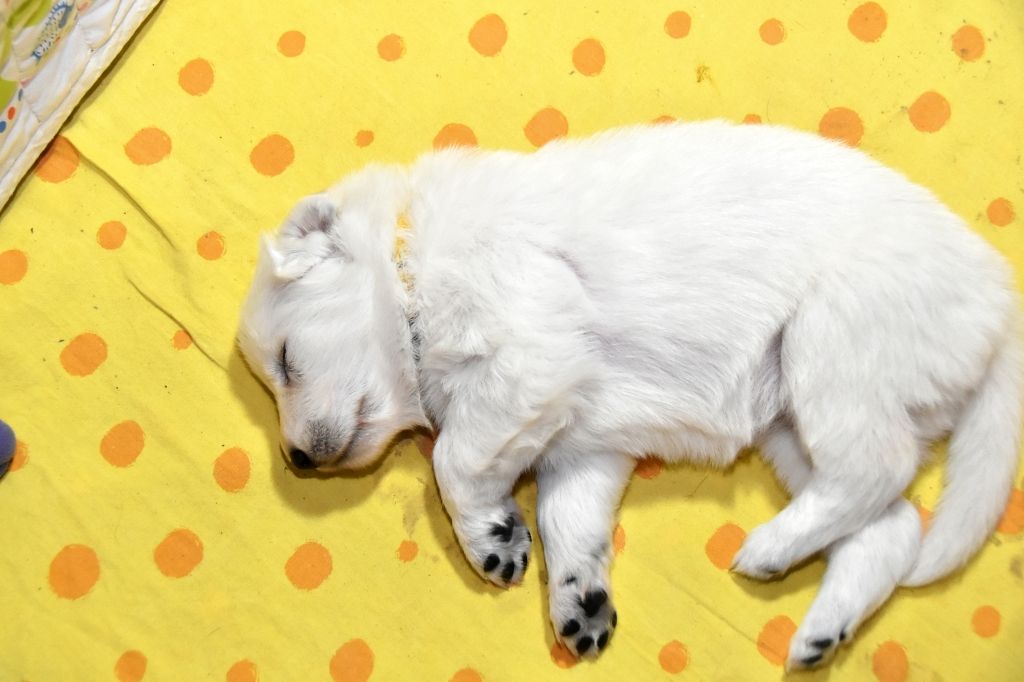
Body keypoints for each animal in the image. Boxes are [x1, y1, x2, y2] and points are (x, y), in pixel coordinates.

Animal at [238, 121, 1022, 670]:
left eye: (285, 362)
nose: (296, 459)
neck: (412, 263)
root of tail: (999, 299)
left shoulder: (531, 351)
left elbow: (454, 461)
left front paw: (486, 532)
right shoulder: (583, 444)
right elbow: (566, 519)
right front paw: (569, 593)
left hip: (830, 351)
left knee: (878, 473)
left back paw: (767, 545)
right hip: (792, 426)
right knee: (892, 527)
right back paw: (818, 625)